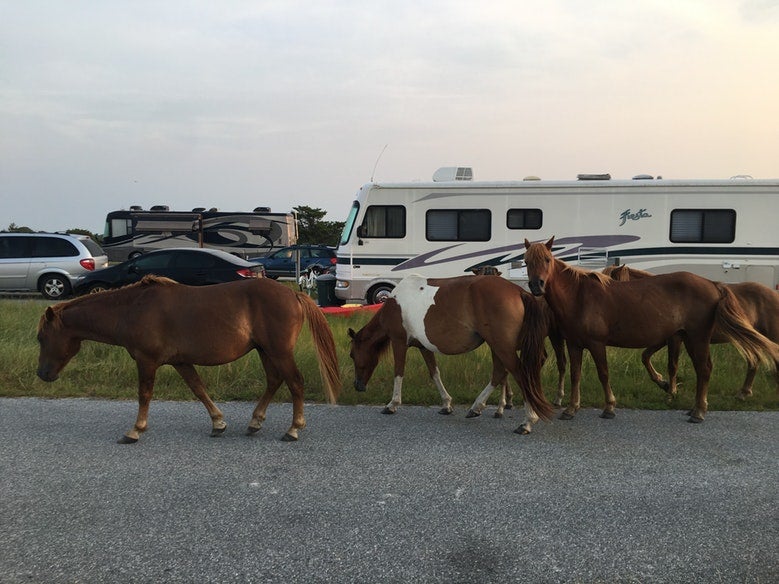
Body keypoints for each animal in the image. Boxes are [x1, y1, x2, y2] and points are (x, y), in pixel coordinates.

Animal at [35, 276, 342, 440]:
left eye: (41, 338)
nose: (42, 374)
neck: (131, 309)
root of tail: (293, 293)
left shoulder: (146, 361)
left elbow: (144, 394)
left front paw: (135, 430)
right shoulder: (180, 361)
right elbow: (199, 389)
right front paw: (218, 423)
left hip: (278, 351)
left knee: (295, 383)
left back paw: (293, 429)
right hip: (265, 351)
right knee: (275, 381)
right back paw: (255, 422)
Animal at [348, 274, 556, 434]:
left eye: (352, 355)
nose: (358, 386)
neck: (396, 302)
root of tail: (519, 292)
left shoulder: (399, 342)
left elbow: (399, 373)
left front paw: (392, 404)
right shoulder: (424, 347)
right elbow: (434, 373)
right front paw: (446, 404)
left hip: (502, 347)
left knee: (519, 374)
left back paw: (527, 421)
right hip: (498, 346)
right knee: (499, 373)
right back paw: (477, 407)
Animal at [608, 264, 779, 396]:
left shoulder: (673, 338)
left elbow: (672, 365)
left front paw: (672, 391)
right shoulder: (665, 338)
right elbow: (645, 356)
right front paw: (662, 382)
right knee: (754, 361)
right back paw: (744, 392)